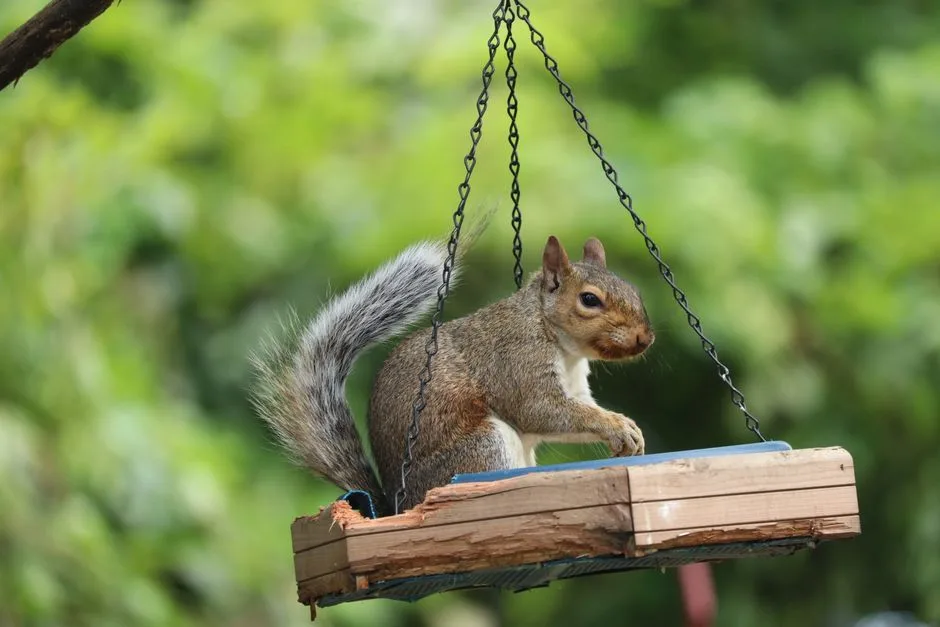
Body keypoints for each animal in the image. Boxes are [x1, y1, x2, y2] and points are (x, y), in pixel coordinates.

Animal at [251, 234, 654, 515]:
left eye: (634, 291)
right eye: (589, 300)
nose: (645, 337)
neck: (557, 338)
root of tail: (398, 506)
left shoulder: (575, 384)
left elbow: (581, 407)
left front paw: (626, 428)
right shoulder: (515, 361)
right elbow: (541, 410)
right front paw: (616, 427)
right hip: (483, 445)